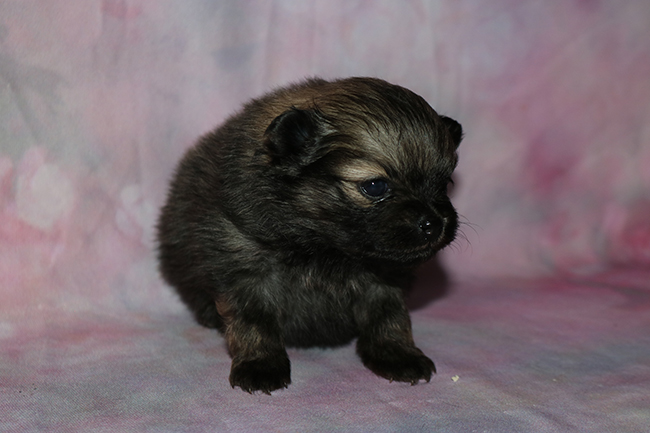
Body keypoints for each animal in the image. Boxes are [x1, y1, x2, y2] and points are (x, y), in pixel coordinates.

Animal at [156, 77, 462, 394]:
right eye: (375, 186)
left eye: (445, 183)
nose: (433, 223)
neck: (325, 246)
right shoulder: (244, 268)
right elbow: (254, 320)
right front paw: (260, 364)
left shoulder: (385, 279)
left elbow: (389, 317)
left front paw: (397, 354)